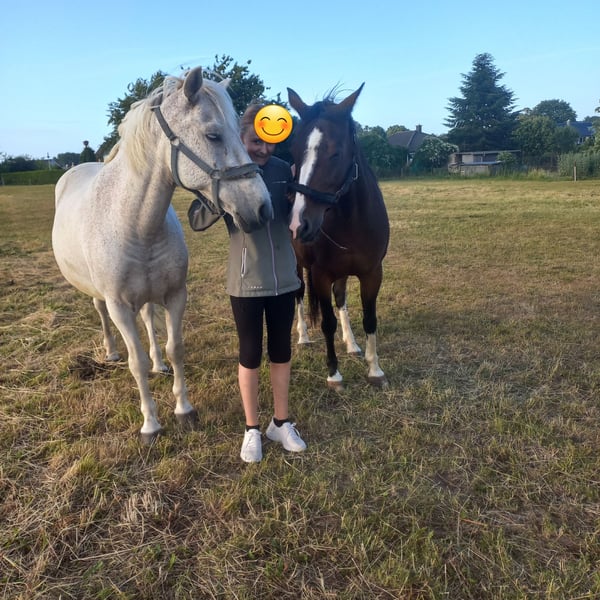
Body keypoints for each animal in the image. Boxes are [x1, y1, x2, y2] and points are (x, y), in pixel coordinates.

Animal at [52, 67, 273, 443]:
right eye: (213, 135)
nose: (261, 208)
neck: (134, 222)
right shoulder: (119, 306)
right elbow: (135, 362)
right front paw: (151, 424)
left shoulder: (175, 295)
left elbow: (175, 347)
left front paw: (184, 409)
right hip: (98, 295)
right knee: (102, 315)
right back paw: (111, 352)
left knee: (148, 318)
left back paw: (159, 364)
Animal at [287, 84, 389, 390]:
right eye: (293, 150)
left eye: (335, 152)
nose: (299, 224)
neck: (352, 221)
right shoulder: (320, 274)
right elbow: (327, 322)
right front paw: (334, 374)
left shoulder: (372, 273)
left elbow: (369, 318)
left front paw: (374, 369)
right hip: (297, 265)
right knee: (299, 295)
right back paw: (303, 336)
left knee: (340, 297)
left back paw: (352, 343)